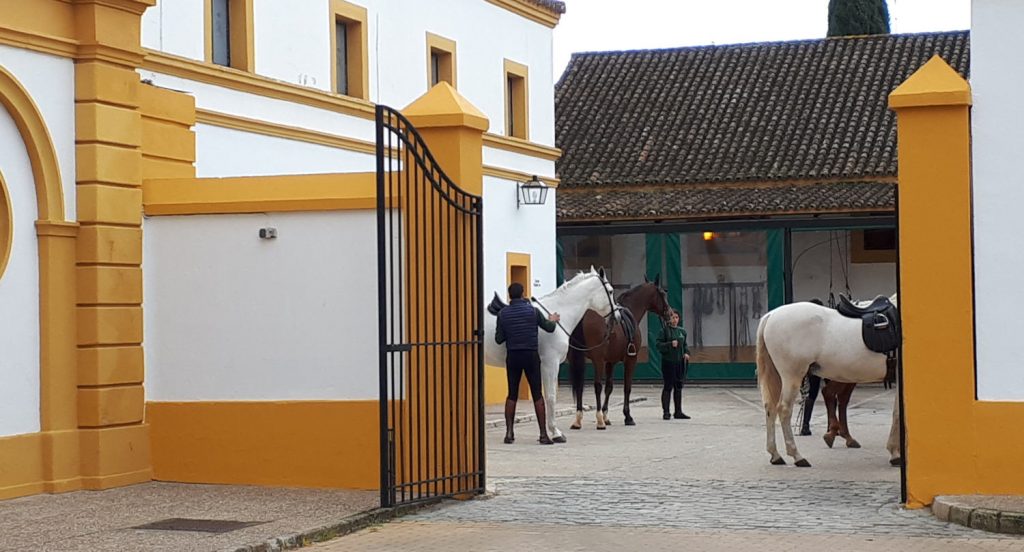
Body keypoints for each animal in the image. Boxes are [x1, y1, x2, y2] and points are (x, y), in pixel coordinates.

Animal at [569, 278, 671, 430]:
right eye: (663, 294)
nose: (670, 314)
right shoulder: (630, 359)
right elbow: (627, 387)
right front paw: (627, 416)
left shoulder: (610, 362)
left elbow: (609, 387)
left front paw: (606, 416)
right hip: (597, 360)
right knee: (597, 386)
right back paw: (599, 421)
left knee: (580, 385)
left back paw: (578, 420)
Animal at [757, 292, 901, 466]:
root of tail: (771, 315)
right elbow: (898, 414)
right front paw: (896, 453)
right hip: (792, 376)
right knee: (784, 409)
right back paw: (797, 456)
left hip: (780, 377)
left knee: (770, 408)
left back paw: (775, 455)